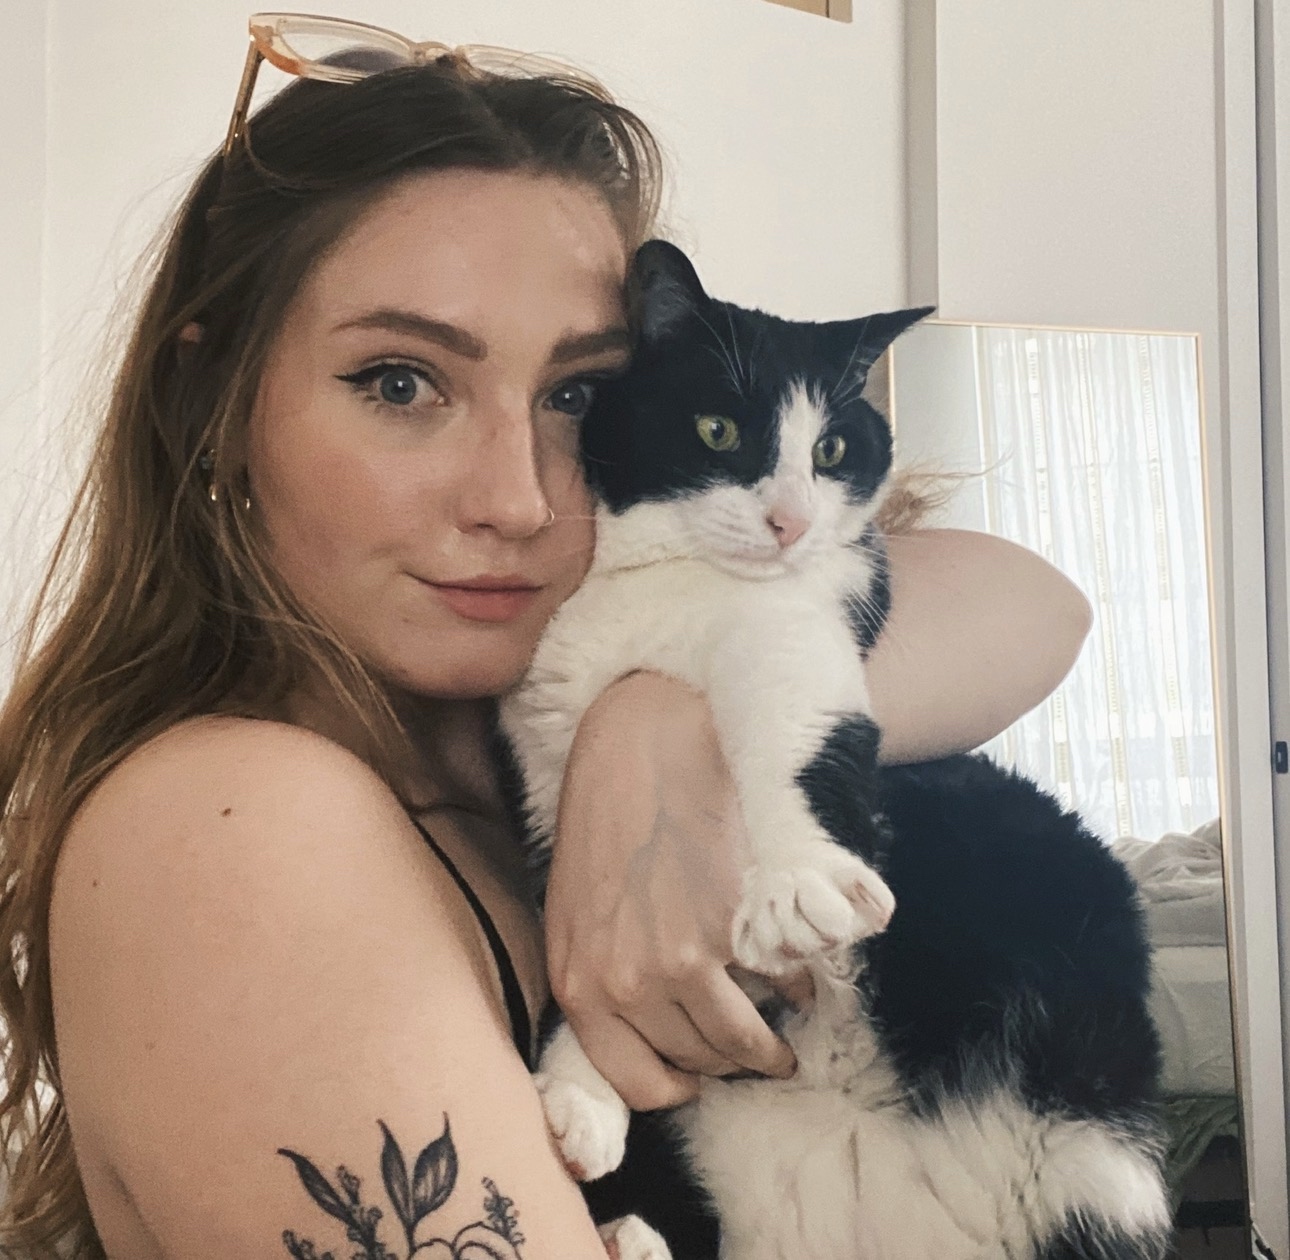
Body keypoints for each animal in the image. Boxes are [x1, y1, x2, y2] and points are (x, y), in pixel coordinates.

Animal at [497, 240, 1170, 1260]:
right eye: (717, 430)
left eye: (833, 451)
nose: (790, 521)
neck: (657, 599)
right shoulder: (548, 776)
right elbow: (578, 922)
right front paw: (581, 1087)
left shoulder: (798, 642)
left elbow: (795, 747)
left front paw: (796, 883)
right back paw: (632, 1231)